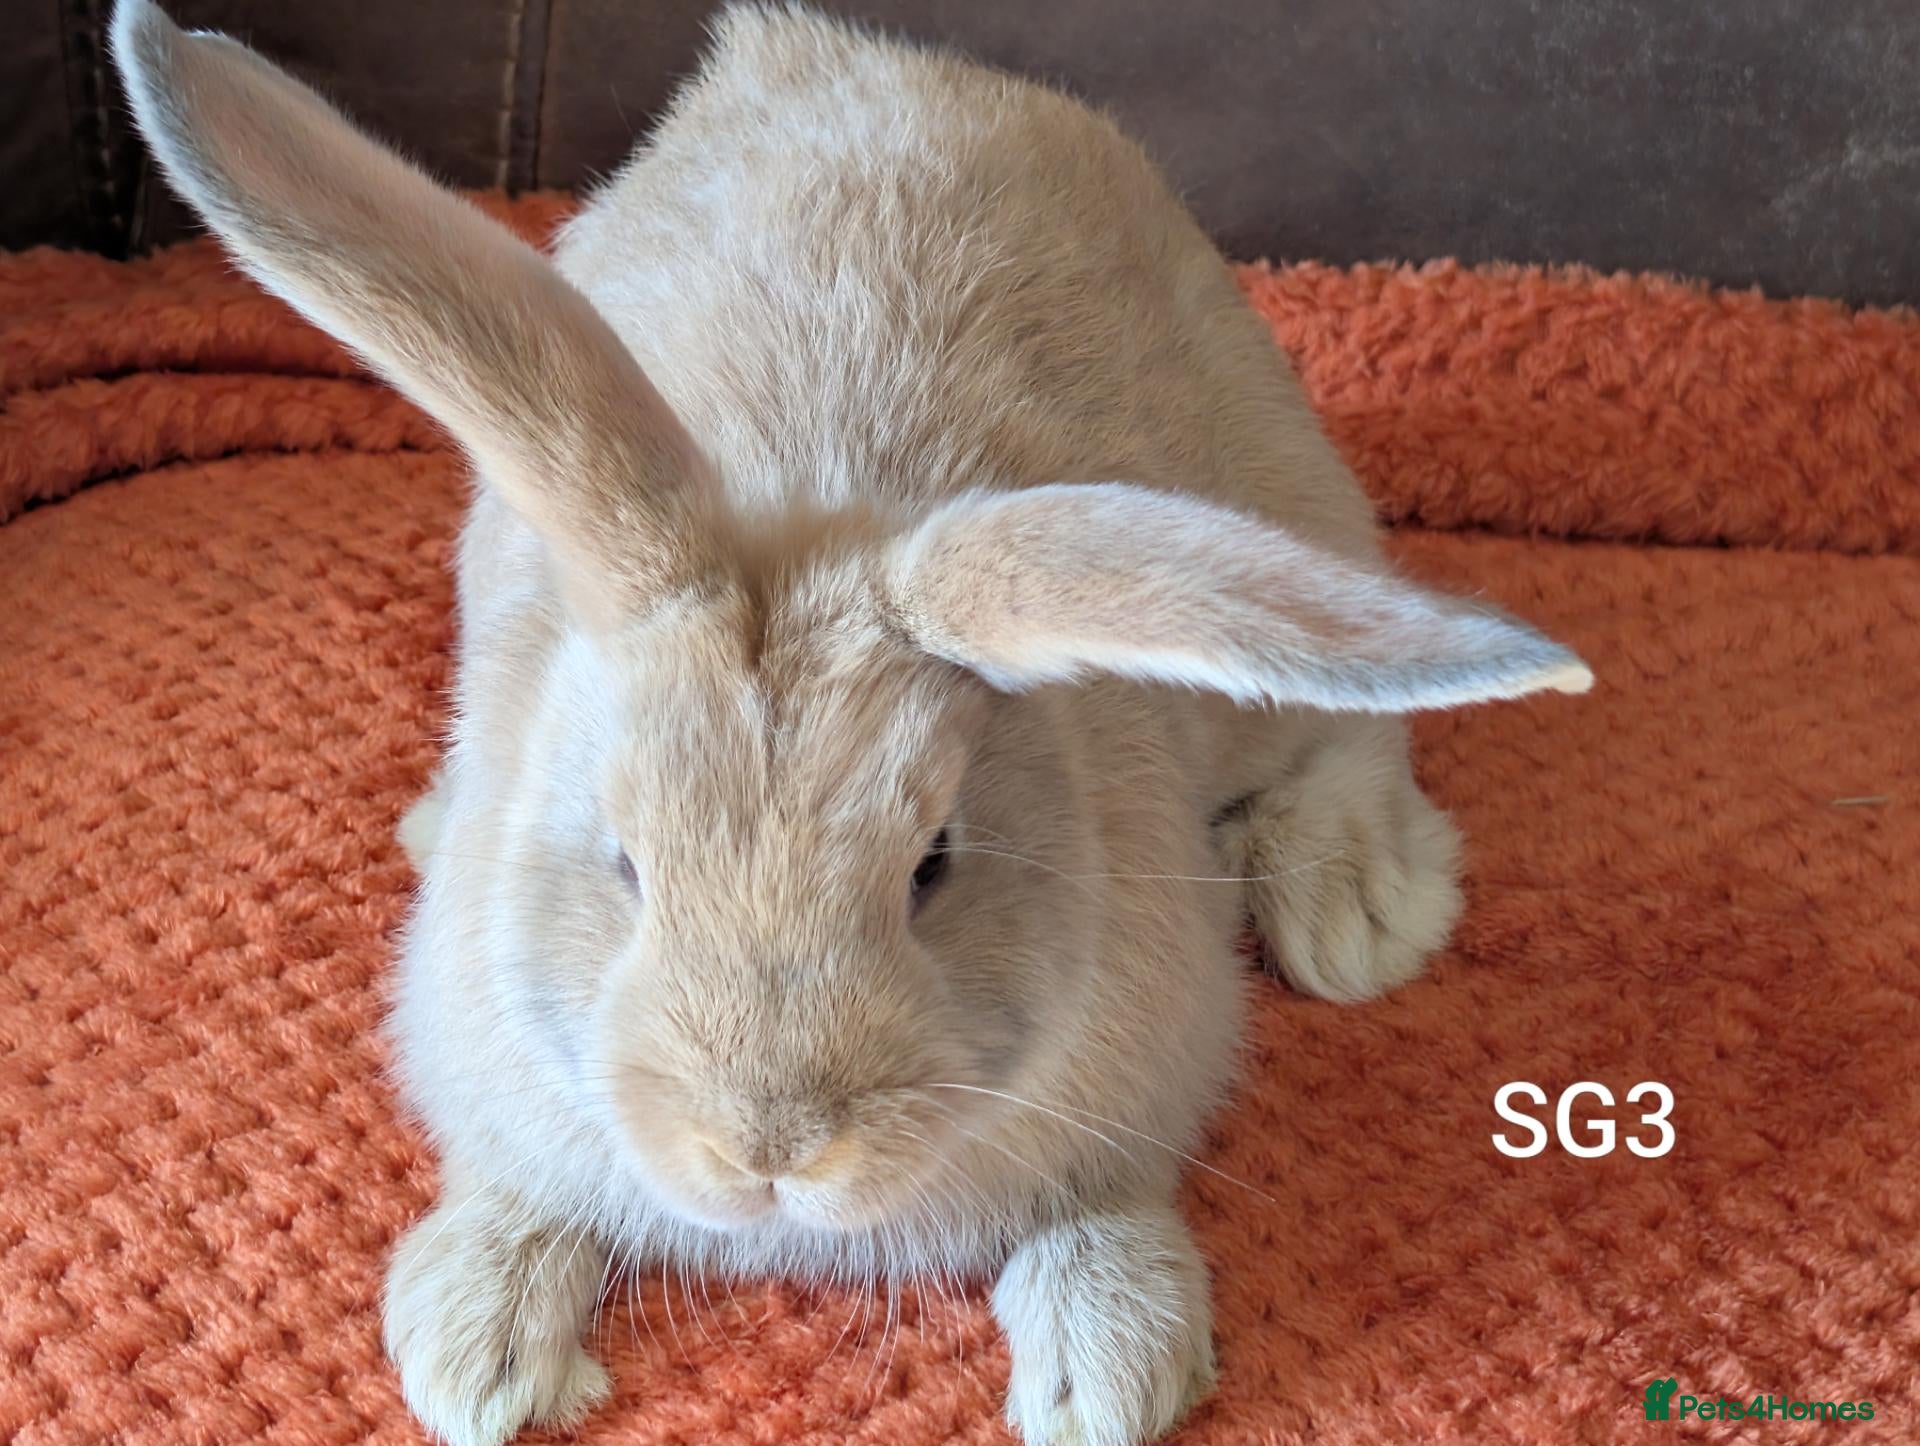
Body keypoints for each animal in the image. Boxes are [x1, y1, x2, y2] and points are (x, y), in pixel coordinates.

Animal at [113, 2, 1591, 1443]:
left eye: (933, 865)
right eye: (624, 864)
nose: (769, 1150)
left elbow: (1106, 1210)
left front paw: (1109, 1373)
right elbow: (510, 1185)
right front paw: (473, 1353)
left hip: (1267, 535)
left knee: (1350, 697)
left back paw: (1357, 912)